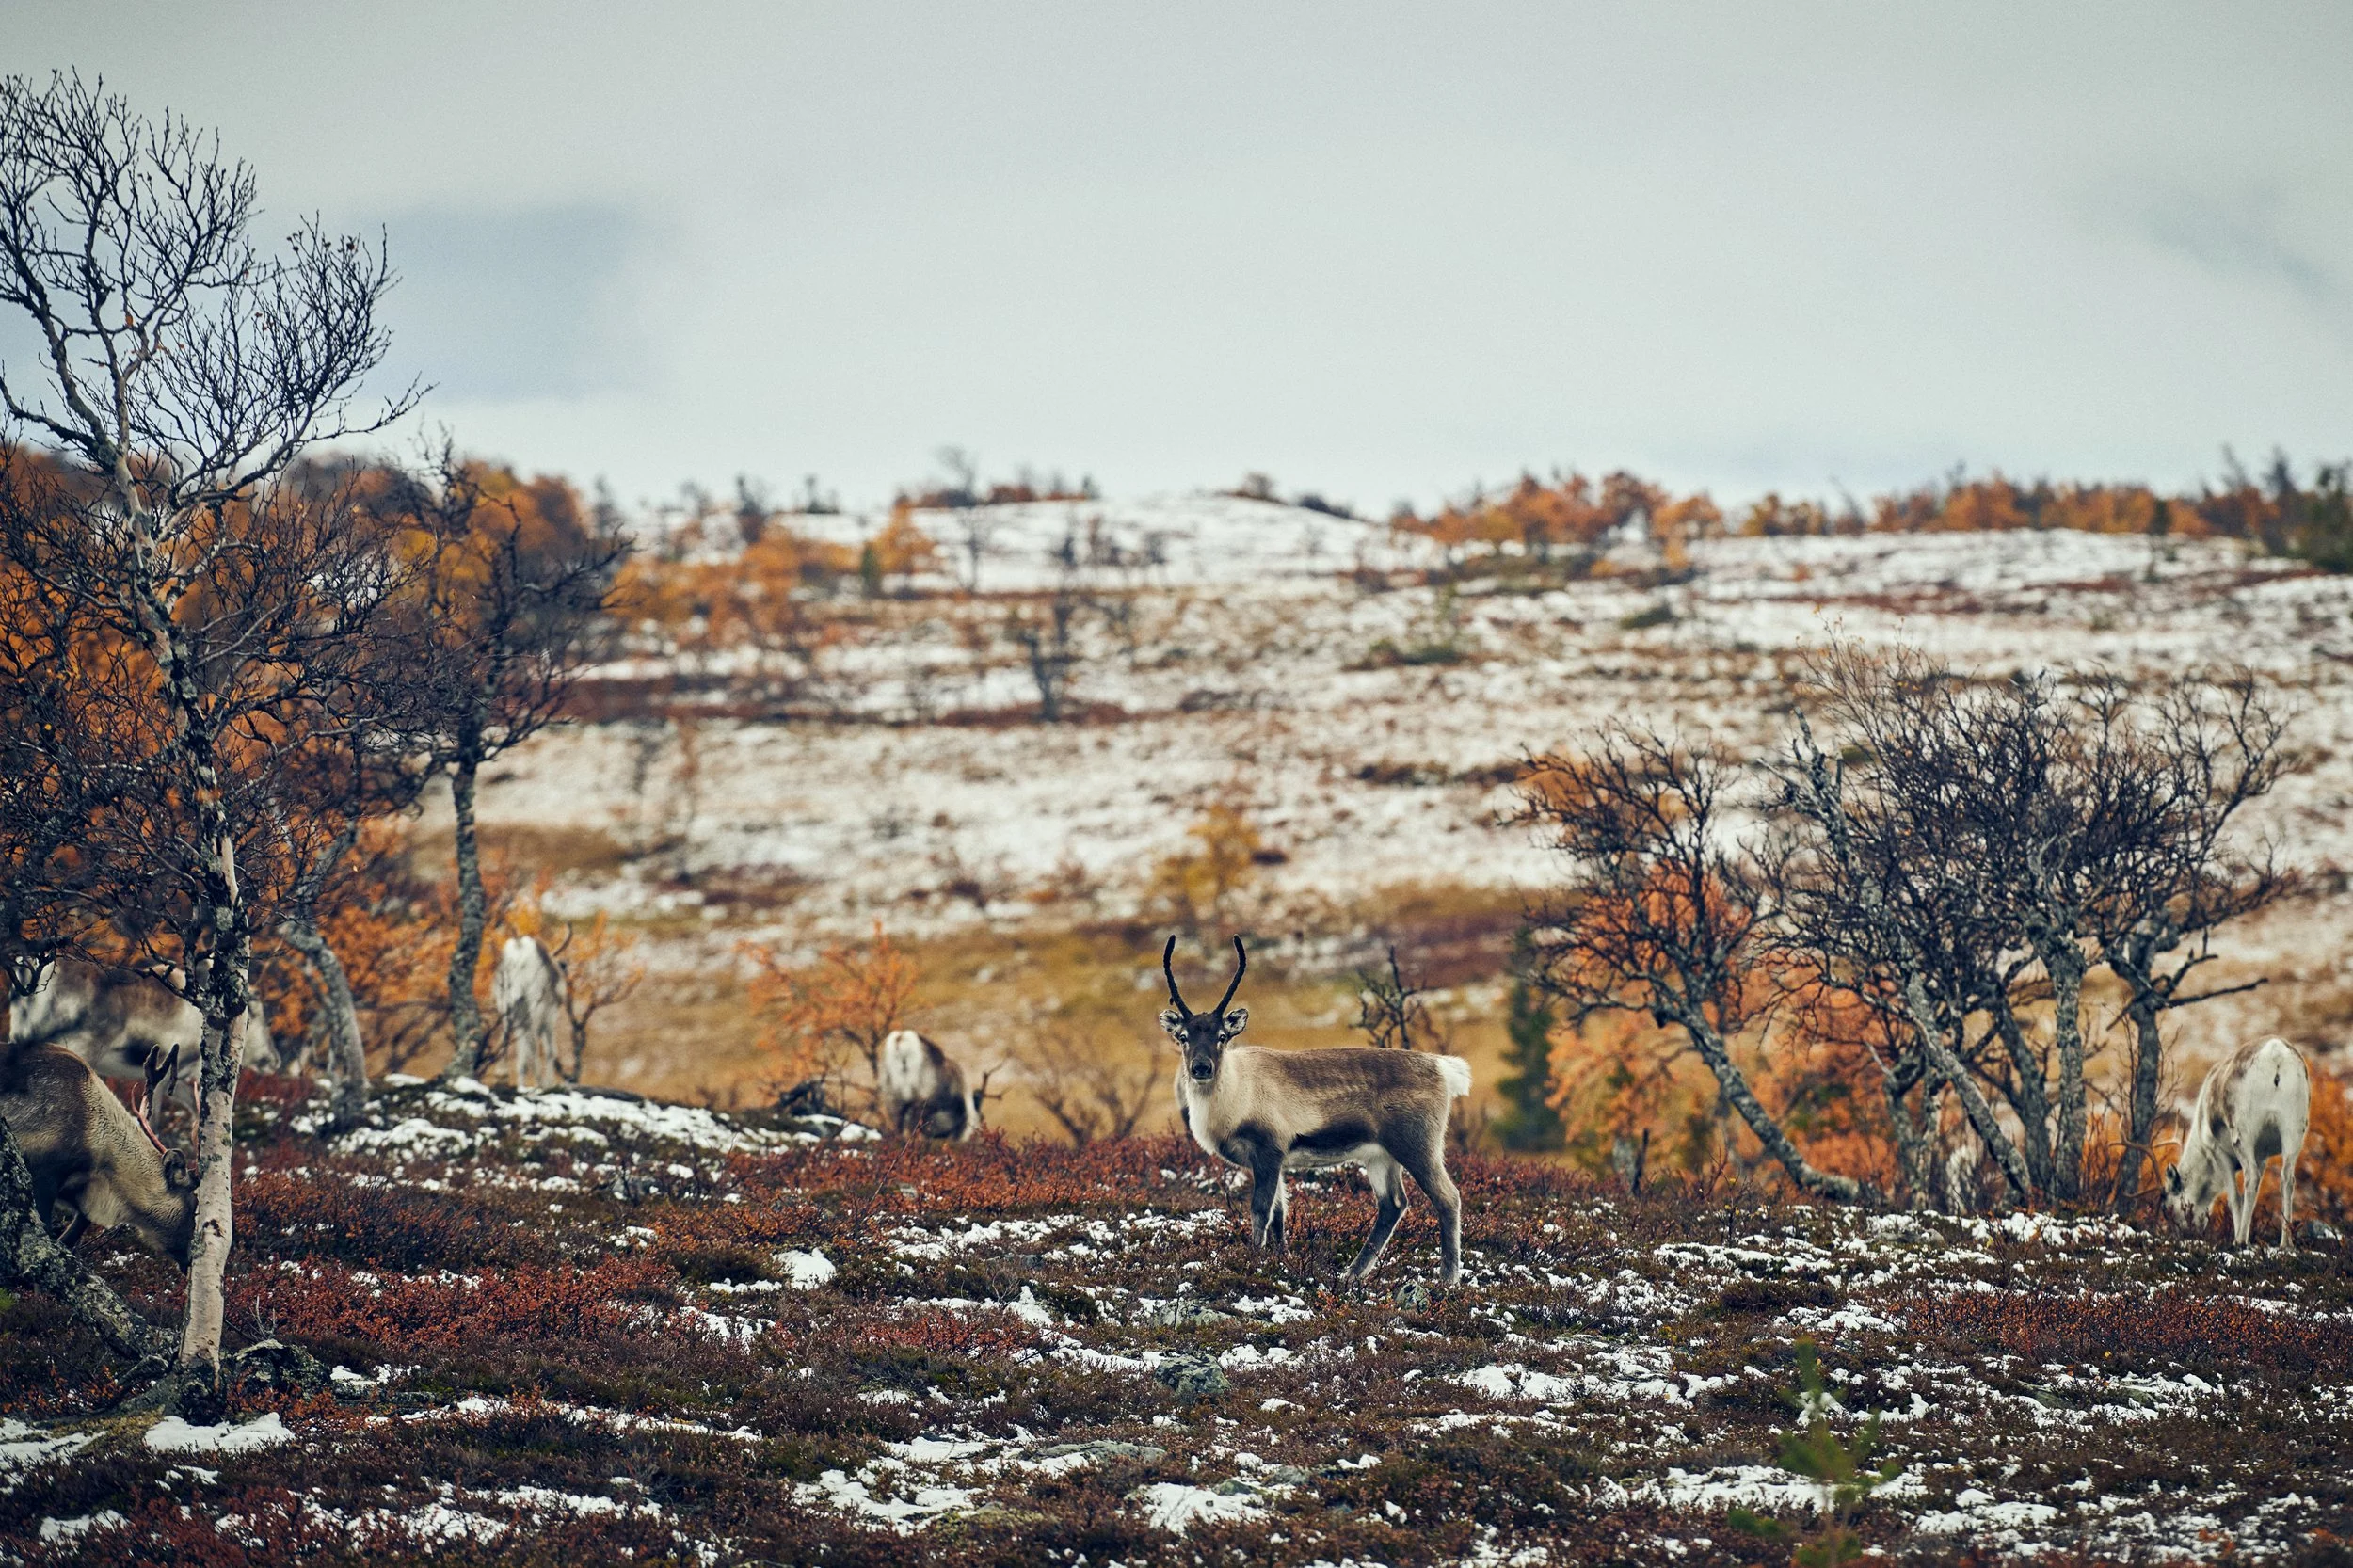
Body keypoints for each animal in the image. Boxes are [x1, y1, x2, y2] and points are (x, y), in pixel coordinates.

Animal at [1159, 935, 1474, 1284]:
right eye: (1183, 1037)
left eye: (1222, 1036)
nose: (1201, 1068)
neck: (1235, 1095)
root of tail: (1442, 1068)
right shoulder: (1274, 1160)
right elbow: (1279, 1213)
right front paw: (1281, 1258)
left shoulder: (1269, 1149)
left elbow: (1260, 1209)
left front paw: (1253, 1260)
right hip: (1380, 1157)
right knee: (1393, 1204)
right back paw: (1352, 1275)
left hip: (1418, 1145)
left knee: (1447, 1197)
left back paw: (1447, 1278)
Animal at [2166, 1035, 2311, 1249]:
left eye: (2167, 1205)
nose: (2177, 1233)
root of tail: (2275, 1052)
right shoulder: (2262, 1157)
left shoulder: (2218, 1151)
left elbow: (2234, 1197)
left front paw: (2237, 1236)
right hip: (2293, 1131)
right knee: (2287, 1179)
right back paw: (2286, 1242)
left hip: (2243, 1135)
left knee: (2251, 1178)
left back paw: (2241, 1240)